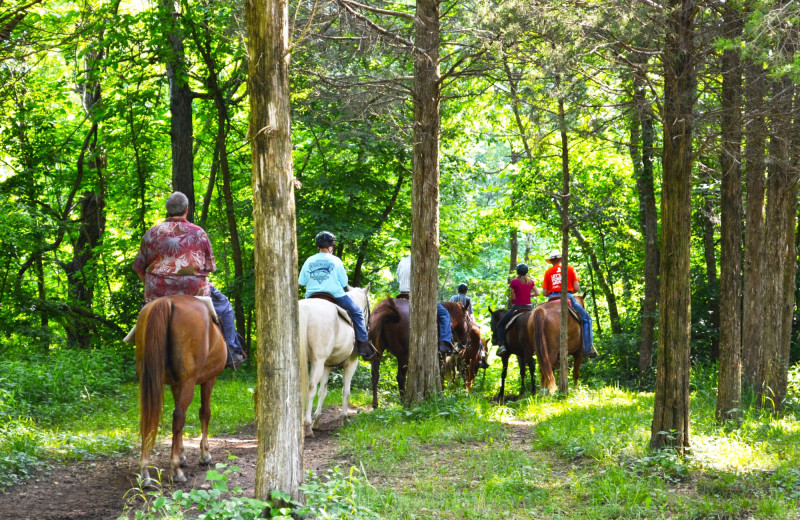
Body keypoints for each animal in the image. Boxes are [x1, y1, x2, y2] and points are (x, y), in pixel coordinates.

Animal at [134, 294, 227, 486]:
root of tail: (167, 301)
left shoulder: (176, 384)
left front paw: (183, 455)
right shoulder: (208, 379)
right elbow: (204, 412)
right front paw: (205, 455)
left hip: (149, 379)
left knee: (150, 416)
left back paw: (144, 471)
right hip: (189, 381)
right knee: (178, 417)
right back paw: (175, 471)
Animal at [298, 284, 370, 434]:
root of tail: (306, 308)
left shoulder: (327, 365)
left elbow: (323, 392)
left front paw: (317, 421)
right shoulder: (351, 363)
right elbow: (346, 391)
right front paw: (344, 419)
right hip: (318, 361)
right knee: (311, 386)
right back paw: (307, 425)